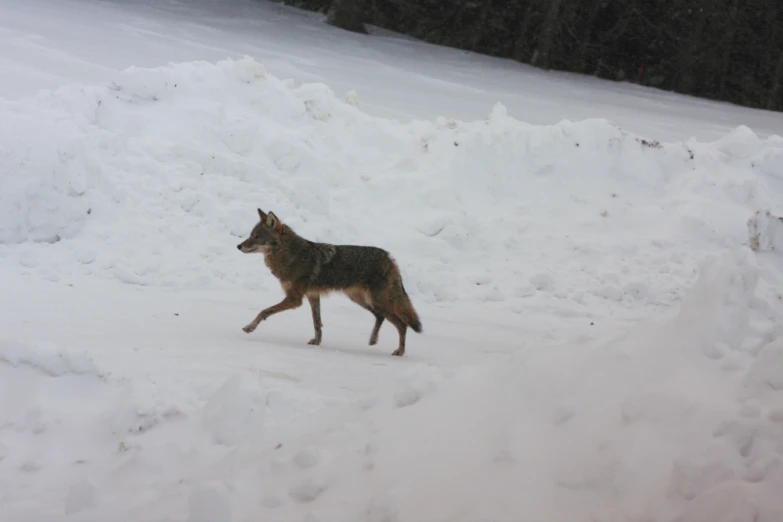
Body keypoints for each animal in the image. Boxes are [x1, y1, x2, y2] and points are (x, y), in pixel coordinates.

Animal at [239, 206, 422, 354]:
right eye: (251, 235)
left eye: (256, 237)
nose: (238, 246)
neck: (291, 255)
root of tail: (389, 257)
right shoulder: (312, 296)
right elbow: (317, 322)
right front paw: (317, 341)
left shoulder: (295, 299)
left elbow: (264, 311)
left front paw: (250, 327)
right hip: (361, 300)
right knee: (381, 317)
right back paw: (373, 339)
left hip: (377, 301)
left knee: (402, 323)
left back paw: (399, 351)